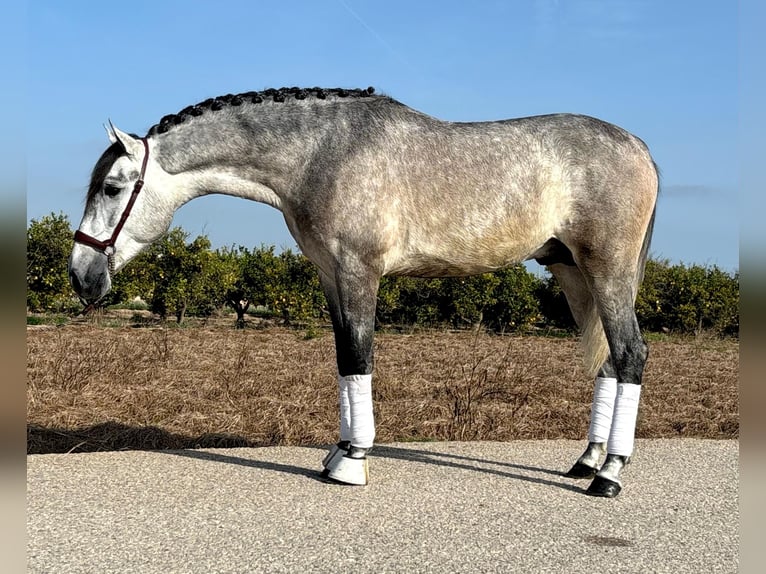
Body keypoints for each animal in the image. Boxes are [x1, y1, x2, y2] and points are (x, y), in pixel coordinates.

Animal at [69, 85, 660, 500]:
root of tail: (639, 147)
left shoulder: (358, 272)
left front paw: (353, 461)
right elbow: (343, 360)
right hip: (573, 273)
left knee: (631, 353)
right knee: (608, 361)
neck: (321, 154)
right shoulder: (331, 277)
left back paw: (609, 474)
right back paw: (587, 460)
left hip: (607, 271)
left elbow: (359, 356)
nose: (81, 276)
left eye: (112, 188)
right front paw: (337, 454)